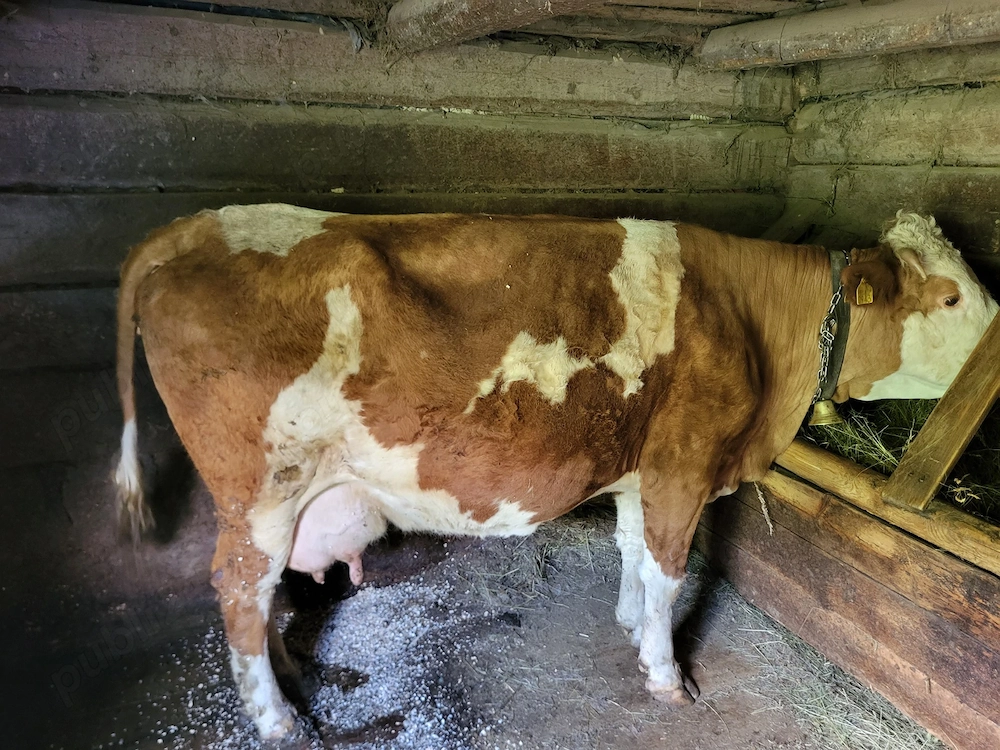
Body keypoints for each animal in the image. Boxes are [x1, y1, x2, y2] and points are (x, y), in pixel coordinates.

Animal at [113, 205, 997, 745]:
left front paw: (629, 624)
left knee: (260, 596)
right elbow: (671, 570)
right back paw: (277, 720)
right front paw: (665, 673)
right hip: (261, 490)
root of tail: (194, 226)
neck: (752, 321)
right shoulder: (684, 462)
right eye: (952, 298)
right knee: (239, 586)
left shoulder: (644, 467)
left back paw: (293, 680)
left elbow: (634, 551)